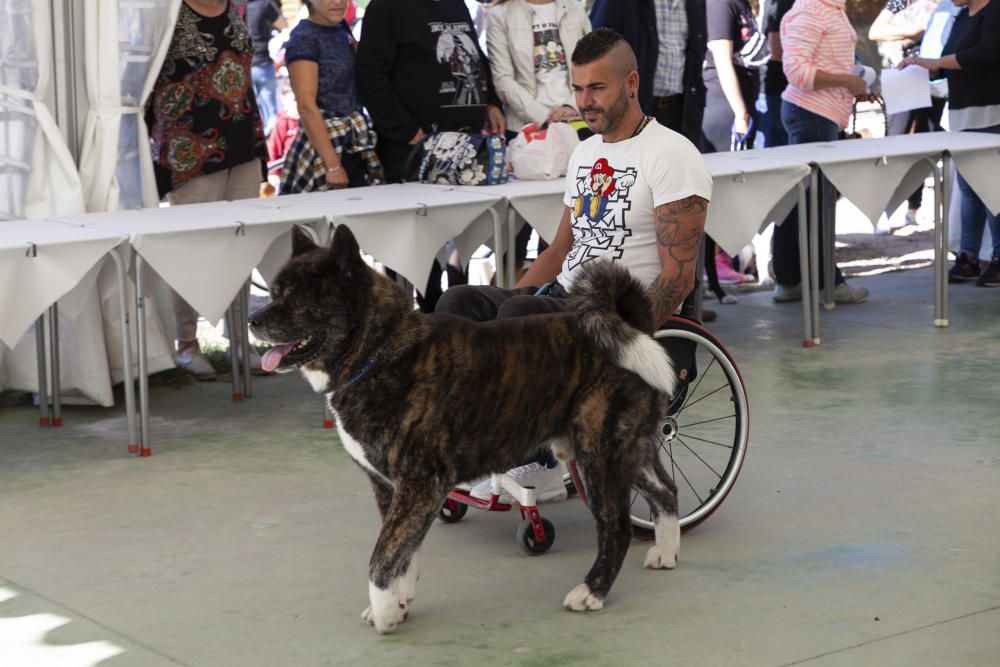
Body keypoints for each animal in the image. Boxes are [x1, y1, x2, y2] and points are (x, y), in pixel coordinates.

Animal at [252, 226, 680, 636]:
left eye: (295, 297)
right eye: (273, 292)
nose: (253, 321)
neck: (379, 350)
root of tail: (631, 322)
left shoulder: (420, 484)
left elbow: (382, 557)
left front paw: (385, 613)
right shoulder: (392, 489)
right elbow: (404, 553)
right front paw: (399, 604)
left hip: (599, 453)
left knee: (617, 526)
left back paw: (592, 592)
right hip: (626, 448)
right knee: (666, 492)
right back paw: (666, 553)